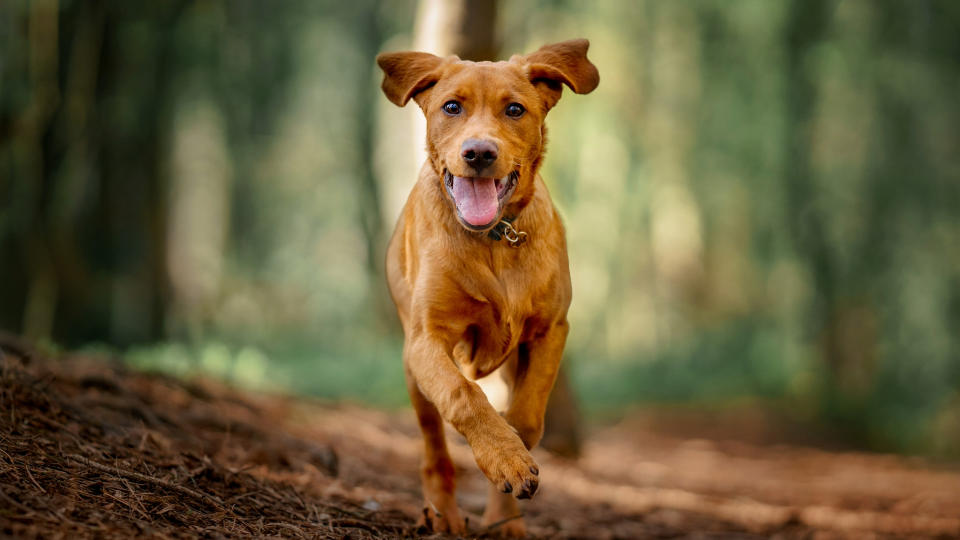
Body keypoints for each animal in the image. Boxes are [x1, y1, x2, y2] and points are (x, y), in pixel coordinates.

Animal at [376, 39, 596, 536]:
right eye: (451, 107)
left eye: (514, 109)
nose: (478, 153)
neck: (493, 239)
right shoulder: (426, 340)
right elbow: (463, 396)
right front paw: (504, 459)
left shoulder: (551, 330)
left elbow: (526, 419)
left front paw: (511, 469)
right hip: (413, 374)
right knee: (435, 450)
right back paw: (442, 514)